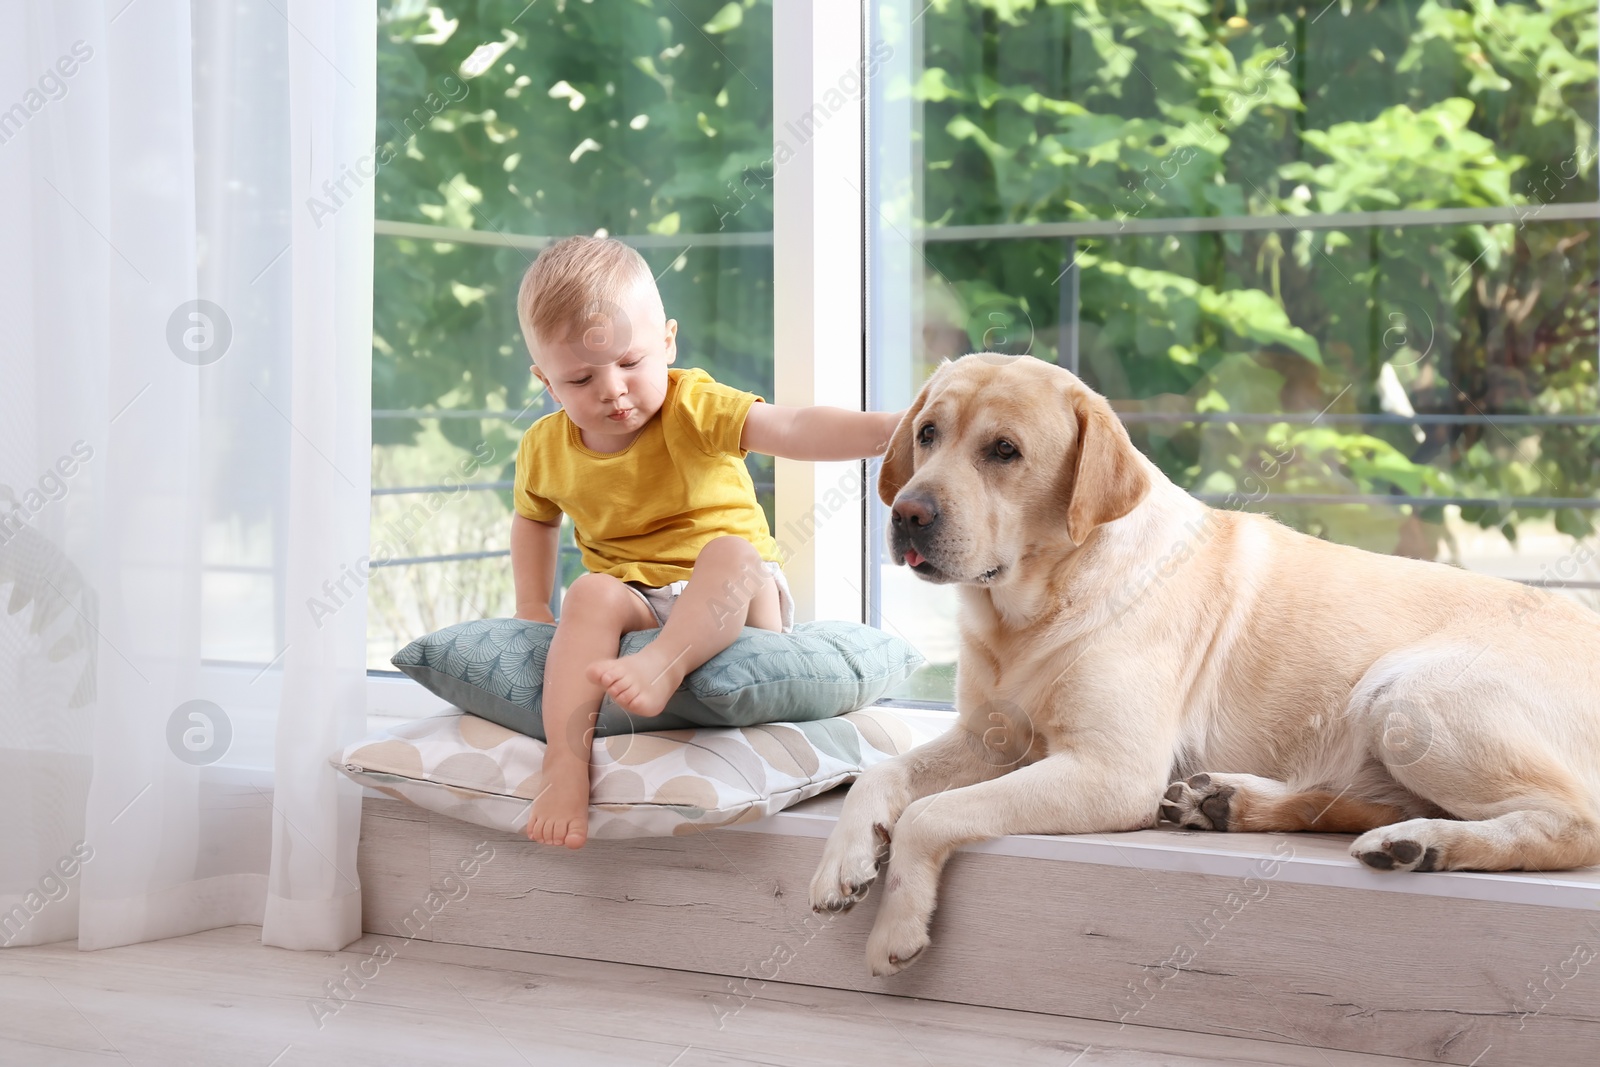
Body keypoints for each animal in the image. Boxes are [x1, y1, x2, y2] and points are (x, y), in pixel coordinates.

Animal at [812, 351, 1600, 979]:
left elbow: (931, 814)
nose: (908, 515)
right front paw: (843, 858)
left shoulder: (1110, 772)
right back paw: (1230, 803)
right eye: (928, 434)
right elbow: (883, 774)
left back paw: (1423, 845)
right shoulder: (988, 736)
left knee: (1573, 823)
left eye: (1004, 450)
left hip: (1406, 692)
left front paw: (896, 925)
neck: (1031, 612)